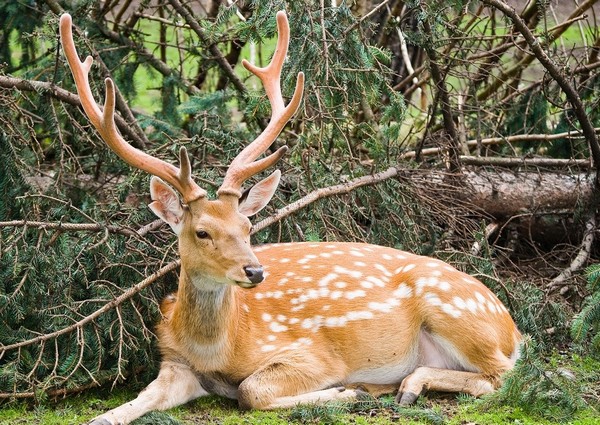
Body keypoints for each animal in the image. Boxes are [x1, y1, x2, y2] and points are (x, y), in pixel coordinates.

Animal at [58, 9, 524, 424]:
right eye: (202, 232)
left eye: (248, 226)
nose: (254, 271)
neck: (223, 346)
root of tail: (513, 328)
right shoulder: (175, 363)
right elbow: (130, 404)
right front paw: (104, 416)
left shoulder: (314, 352)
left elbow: (250, 391)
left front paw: (345, 392)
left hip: (454, 311)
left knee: (504, 374)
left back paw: (401, 386)